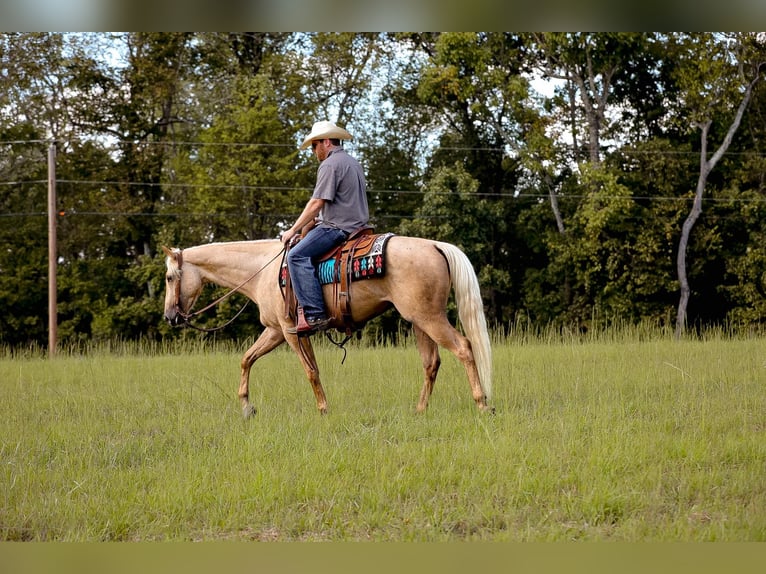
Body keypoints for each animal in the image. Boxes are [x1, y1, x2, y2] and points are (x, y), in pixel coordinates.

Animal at [164, 238, 496, 418]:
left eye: (168, 277)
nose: (169, 316)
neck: (262, 271)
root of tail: (434, 245)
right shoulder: (275, 332)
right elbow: (247, 359)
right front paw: (247, 408)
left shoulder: (291, 332)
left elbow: (311, 371)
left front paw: (323, 409)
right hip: (419, 321)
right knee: (431, 363)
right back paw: (420, 410)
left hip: (430, 318)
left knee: (464, 348)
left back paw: (482, 405)